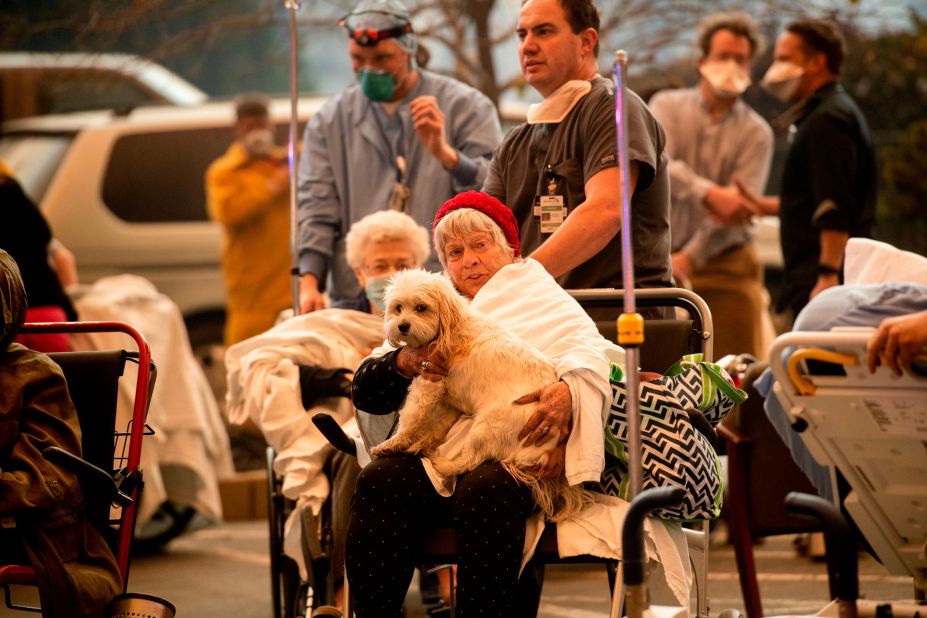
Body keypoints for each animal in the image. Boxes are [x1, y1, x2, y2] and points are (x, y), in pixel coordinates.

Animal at [368, 268, 588, 516]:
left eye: (421, 308)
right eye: (398, 308)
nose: (402, 325)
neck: (452, 326)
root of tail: (548, 453)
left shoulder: (428, 384)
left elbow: (411, 418)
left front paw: (392, 444)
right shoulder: (448, 401)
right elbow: (435, 428)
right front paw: (418, 444)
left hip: (485, 427)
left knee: (470, 460)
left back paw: (440, 463)